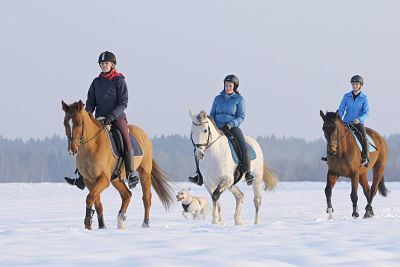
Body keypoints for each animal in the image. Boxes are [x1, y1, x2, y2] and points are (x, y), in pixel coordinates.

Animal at [62, 100, 175, 230]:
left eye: (79, 123)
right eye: (65, 123)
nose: (72, 150)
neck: (91, 147)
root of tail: (143, 134)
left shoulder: (104, 179)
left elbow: (90, 198)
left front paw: (88, 223)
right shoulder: (88, 180)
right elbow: (97, 202)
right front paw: (101, 226)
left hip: (144, 172)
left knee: (146, 197)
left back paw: (145, 223)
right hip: (116, 179)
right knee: (127, 195)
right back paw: (121, 218)